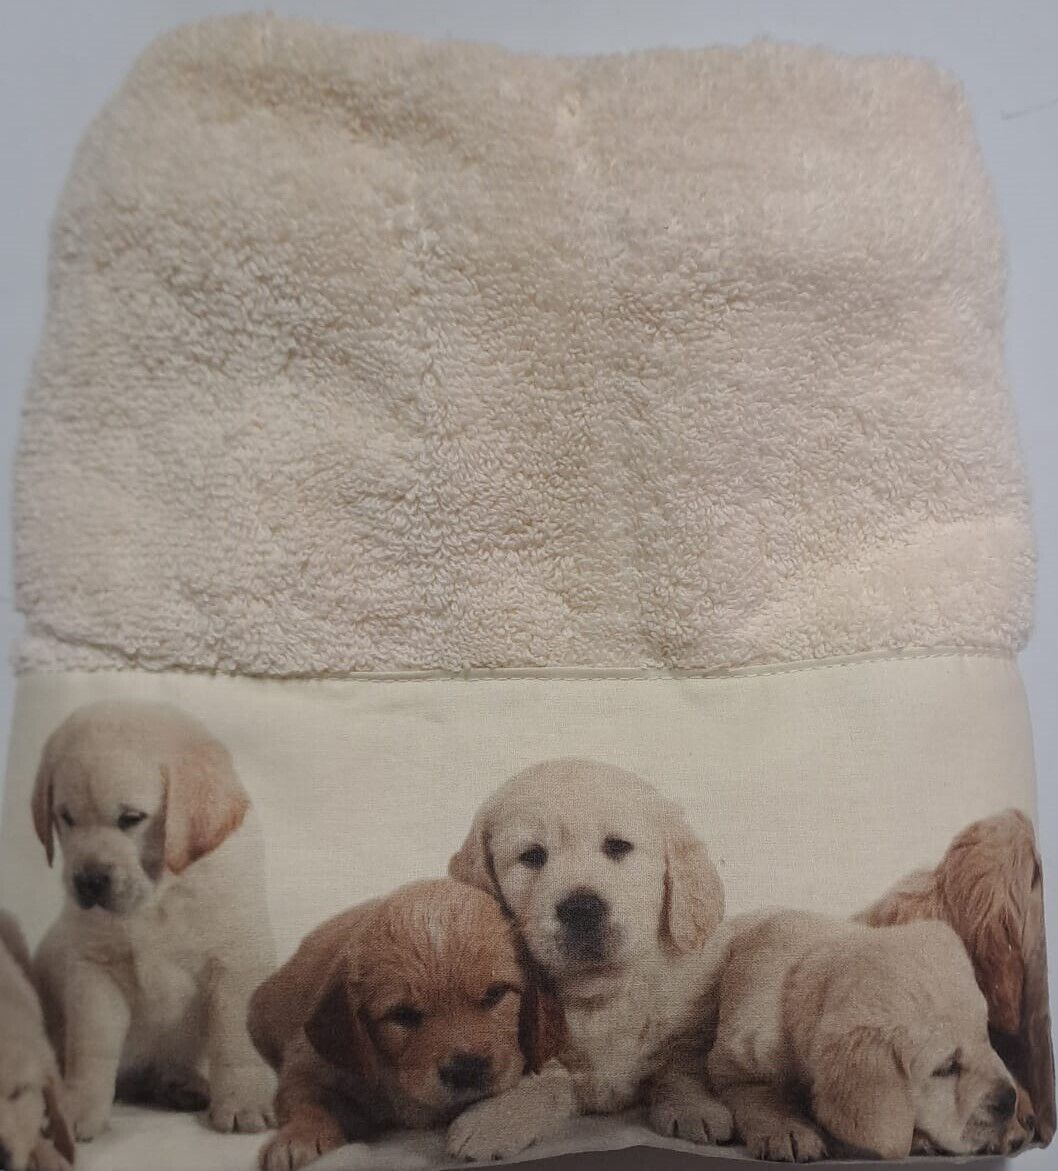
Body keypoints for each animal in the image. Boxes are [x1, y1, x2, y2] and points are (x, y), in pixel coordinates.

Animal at [31, 700, 277, 1141]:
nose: (88, 881)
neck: (158, 891)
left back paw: (181, 1085)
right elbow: (91, 1049)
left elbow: (236, 1042)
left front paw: (244, 1103)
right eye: (66, 817)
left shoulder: (238, 961)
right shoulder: (94, 971)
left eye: (131, 818)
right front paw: (79, 1110)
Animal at [248, 877, 568, 1171]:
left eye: (495, 994)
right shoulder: (307, 1062)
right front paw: (297, 1138)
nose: (466, 1069)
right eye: (402, 1015)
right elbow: (304, 1098)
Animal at [447, 758, 731, 1158]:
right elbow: (543, 1079)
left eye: (618, 846)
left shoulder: (688, 1023)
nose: (581, 909)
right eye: (532, 856)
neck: (601, 993)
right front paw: (494, 1118)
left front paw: (695, 1107)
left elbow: (680, 1066)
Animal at [707, 911, 1029, 1161]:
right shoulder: (733, 1064)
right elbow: (757, 1096)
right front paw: (788, 1129)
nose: (1008, 1099)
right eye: (946, 1068)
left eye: (985, 1036)